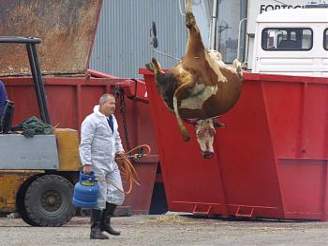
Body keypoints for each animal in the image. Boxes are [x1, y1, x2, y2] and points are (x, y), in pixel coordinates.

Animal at [146, 0, 243, 159]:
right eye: (200, 133)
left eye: (212, 132)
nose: (208, 153)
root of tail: (193, 78)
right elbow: (236, 65)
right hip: (196, 46)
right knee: (191, 21)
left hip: (171, 81)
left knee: (161, 77)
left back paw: (153, 64)